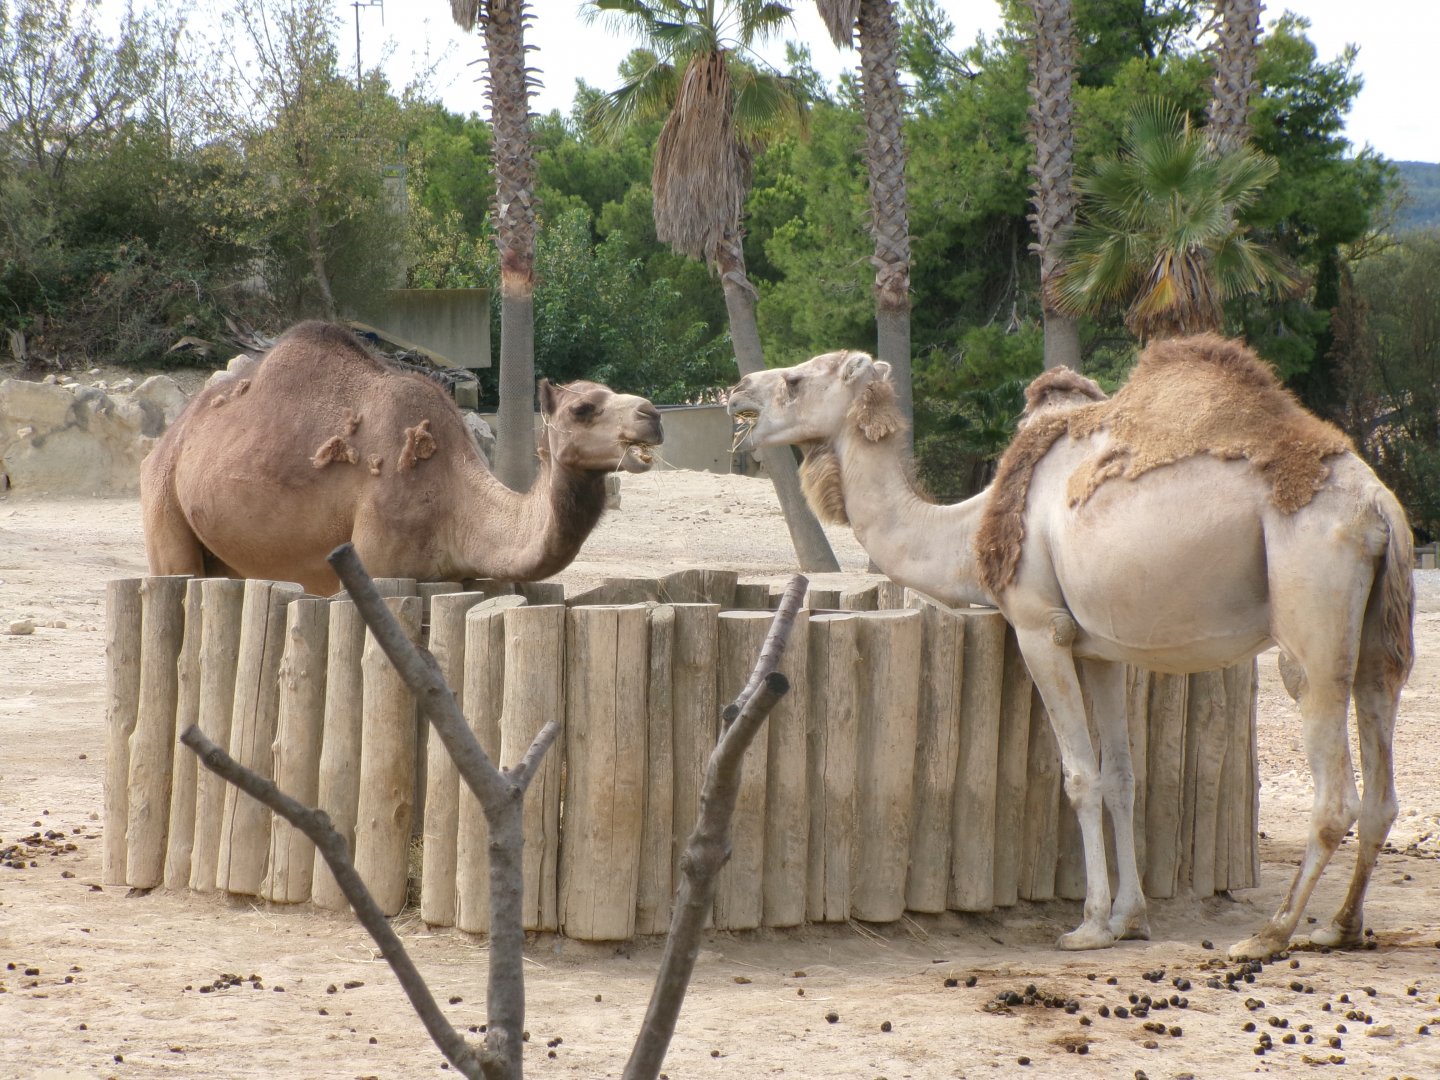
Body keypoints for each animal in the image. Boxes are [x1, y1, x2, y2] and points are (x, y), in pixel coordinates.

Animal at [142, 321, 664, 596]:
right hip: (164, 505)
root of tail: (172, 436)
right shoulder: (379, 564)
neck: (456, 500)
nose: (652, 415)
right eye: (582, 408)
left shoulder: (468, 578)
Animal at [727, 334, 1414, 960]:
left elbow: (1081, 776)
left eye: (795, 380)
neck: (967, 532)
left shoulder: (1041, 628)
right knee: (1381, 785)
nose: (737, 393)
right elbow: (1123, 776)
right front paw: (1130, 919)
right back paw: (1339, 927)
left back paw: (1270, 934)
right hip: (1381, 637)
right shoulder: (1100, 650)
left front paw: (1088, 925)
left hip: (1312, 606)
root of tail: (1377, 505)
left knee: (1334, 783)